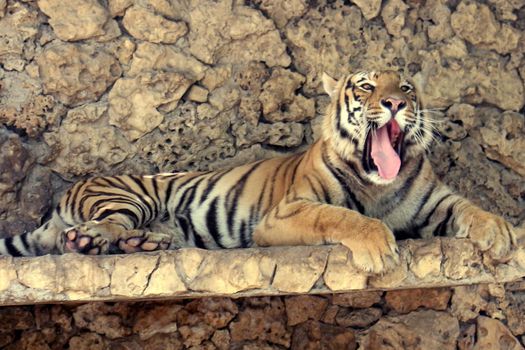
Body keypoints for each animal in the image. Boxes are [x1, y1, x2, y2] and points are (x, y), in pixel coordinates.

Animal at [0, 70, 516, 274]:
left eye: (406, 86)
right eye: (368, 86)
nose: (395, 103)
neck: (377, 185)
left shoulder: (436, 202)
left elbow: (473, 208)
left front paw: (501, 233)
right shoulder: (286, 213)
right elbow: (341, 216)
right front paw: (376, 246)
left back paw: (144, 244)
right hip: (128, 197)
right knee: (98, 227)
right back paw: (93, 240)